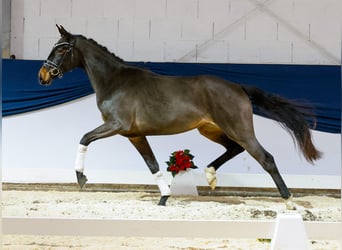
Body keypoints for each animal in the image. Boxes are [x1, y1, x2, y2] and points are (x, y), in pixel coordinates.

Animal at [38, 25, 322, 209]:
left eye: (61, 49)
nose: (43, 75)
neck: (115, 81)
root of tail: (238, 87)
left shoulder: (115, 125)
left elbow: (84, 138)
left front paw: (81, 178)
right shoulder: (134, 134)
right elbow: (152, 165)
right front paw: (164, 197)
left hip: (239, 129)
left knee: (266, 158)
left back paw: (289, 201)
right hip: (210, 129)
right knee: (234, 149)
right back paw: (210, 175)